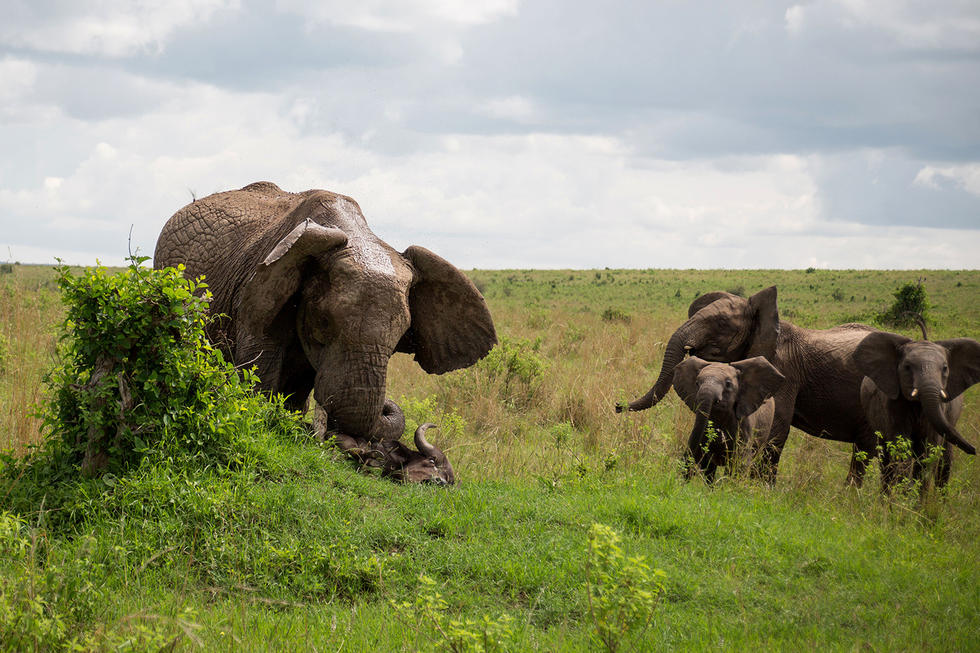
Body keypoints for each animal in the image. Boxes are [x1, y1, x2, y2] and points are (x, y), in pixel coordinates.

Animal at [852, 332, 976, 488]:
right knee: (886, 462)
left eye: (945, 368)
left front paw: (917, 494)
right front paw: (904, 492)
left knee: (946, 460)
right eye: (907, 367)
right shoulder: (893, 405)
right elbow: (901, 450)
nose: (974, 450)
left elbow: (928, 453)